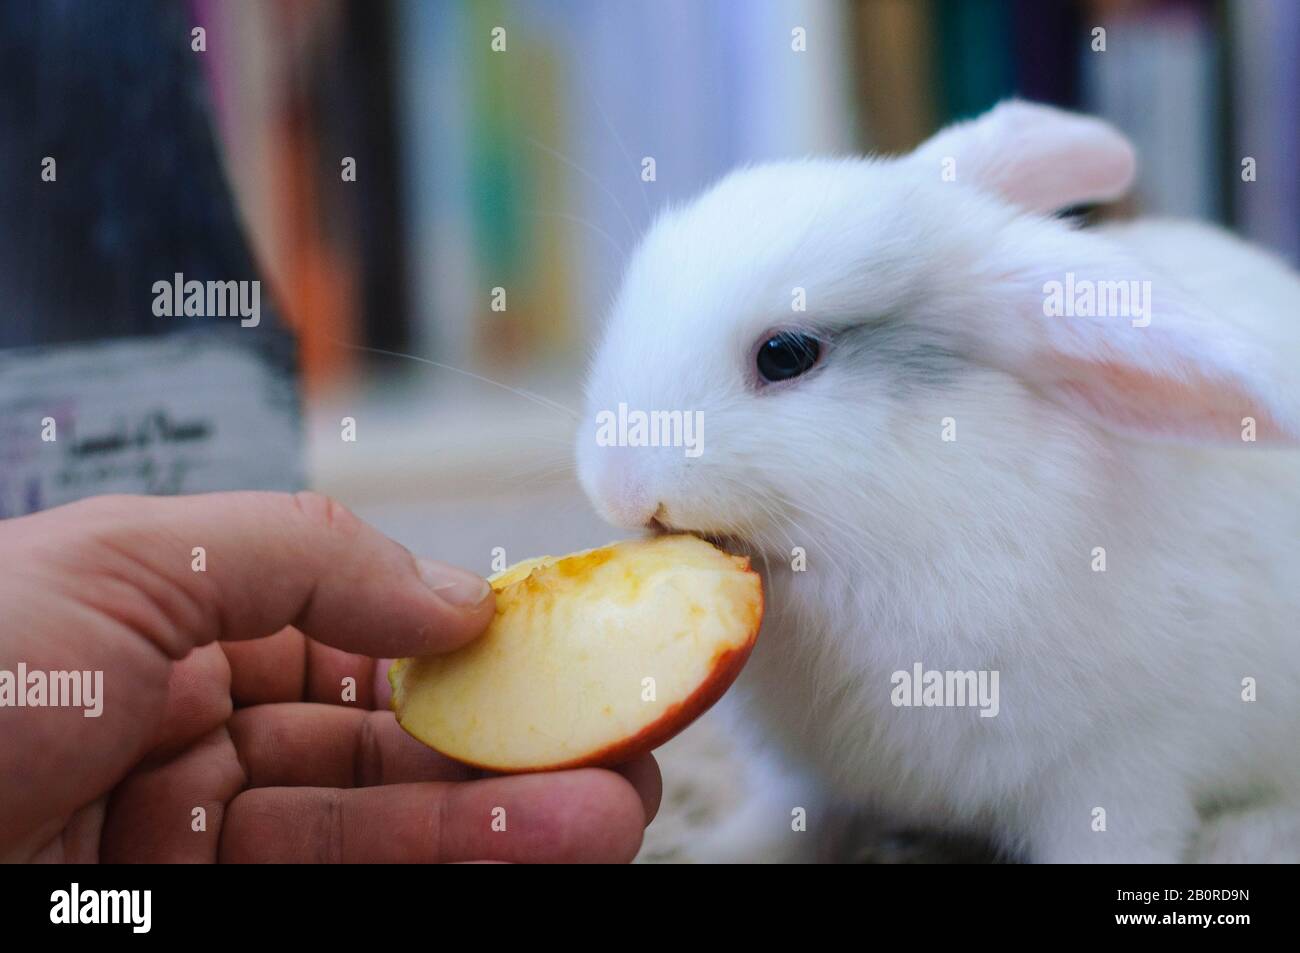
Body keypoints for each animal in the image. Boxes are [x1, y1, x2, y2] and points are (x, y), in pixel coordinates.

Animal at [577, 98, 1300, 863]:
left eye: (785, 354)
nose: (615, 486)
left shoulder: (1119, 774)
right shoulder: (807, 775)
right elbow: (787, 817)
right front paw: (723, 850)